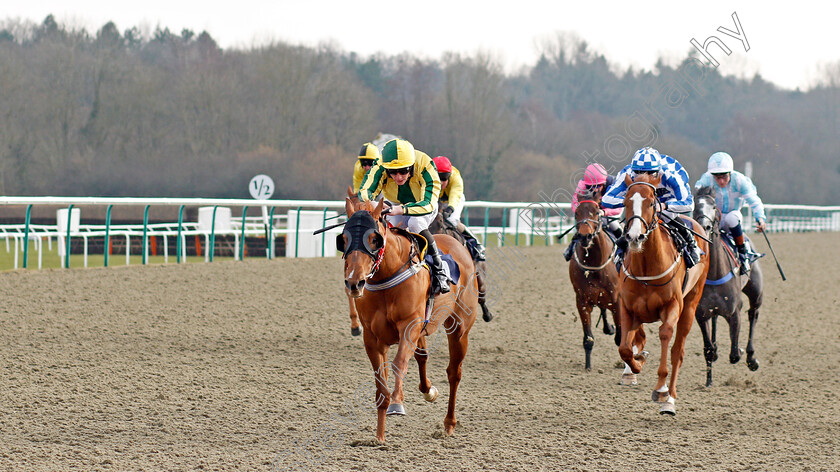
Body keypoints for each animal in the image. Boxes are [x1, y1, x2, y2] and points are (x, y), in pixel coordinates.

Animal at [338, 193, 476, 442]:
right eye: (343, 238)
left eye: (374, 239)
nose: (354, 282)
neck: (387, 276)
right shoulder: (372, 337)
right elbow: (380, 384)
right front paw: (379, 437)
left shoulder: (409, 326)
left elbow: (399, 363)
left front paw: (397, 404)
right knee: (423, 357)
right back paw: (429, 390)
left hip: (460, 328)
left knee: (454, 373)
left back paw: (449, 423)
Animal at [568, 186, 620, 370]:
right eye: (577, 213)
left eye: (597, 212)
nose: (585, 237)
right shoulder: (582, 301)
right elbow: (588, 339)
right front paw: (588, 366)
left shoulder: (617, 299)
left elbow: (621, 338)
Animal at [616, 172, 708, 412]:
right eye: (625, 202)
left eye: (651, 202)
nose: (635, 237)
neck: (647, 267)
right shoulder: (627, 308)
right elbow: (625, 348)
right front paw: (638, 362)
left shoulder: (673, 305)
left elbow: (666, 335)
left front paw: (661, 389)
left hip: (691, 305)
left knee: (678, 351)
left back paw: (670, 398)